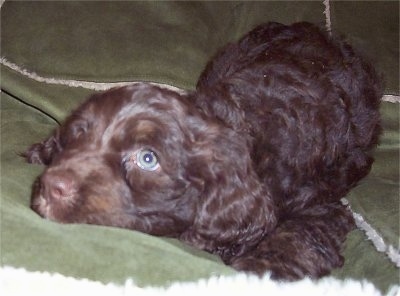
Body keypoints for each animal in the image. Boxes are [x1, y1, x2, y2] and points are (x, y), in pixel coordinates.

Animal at [25, 23, 382, 280]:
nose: (53, 187)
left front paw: (260, 269)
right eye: (80, 134)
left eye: (147, 159)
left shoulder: (321, 207)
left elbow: (294, 238)